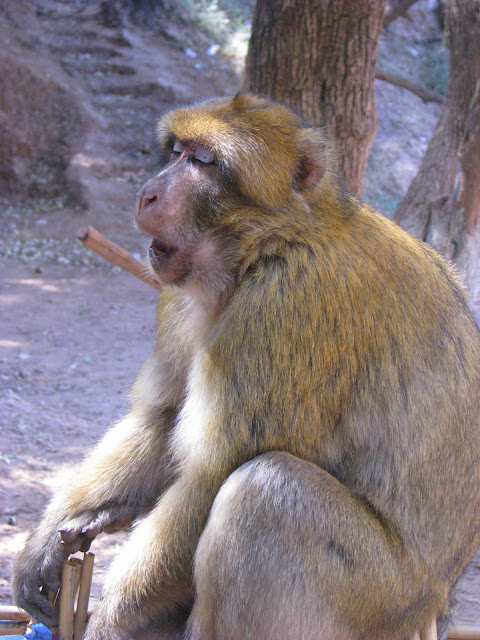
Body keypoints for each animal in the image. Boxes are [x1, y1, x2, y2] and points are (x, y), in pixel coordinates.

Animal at [13, 94, 480, 640]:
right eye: (176, 150)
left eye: (202, 162)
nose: (147, 193)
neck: (267, 246)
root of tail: (437, 610)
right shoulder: (180, 295)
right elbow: (162, 419)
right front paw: (50, 540)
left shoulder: (285, 304)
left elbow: (211, 473)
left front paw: (108, 621)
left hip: (375, 603)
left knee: (266, 493)